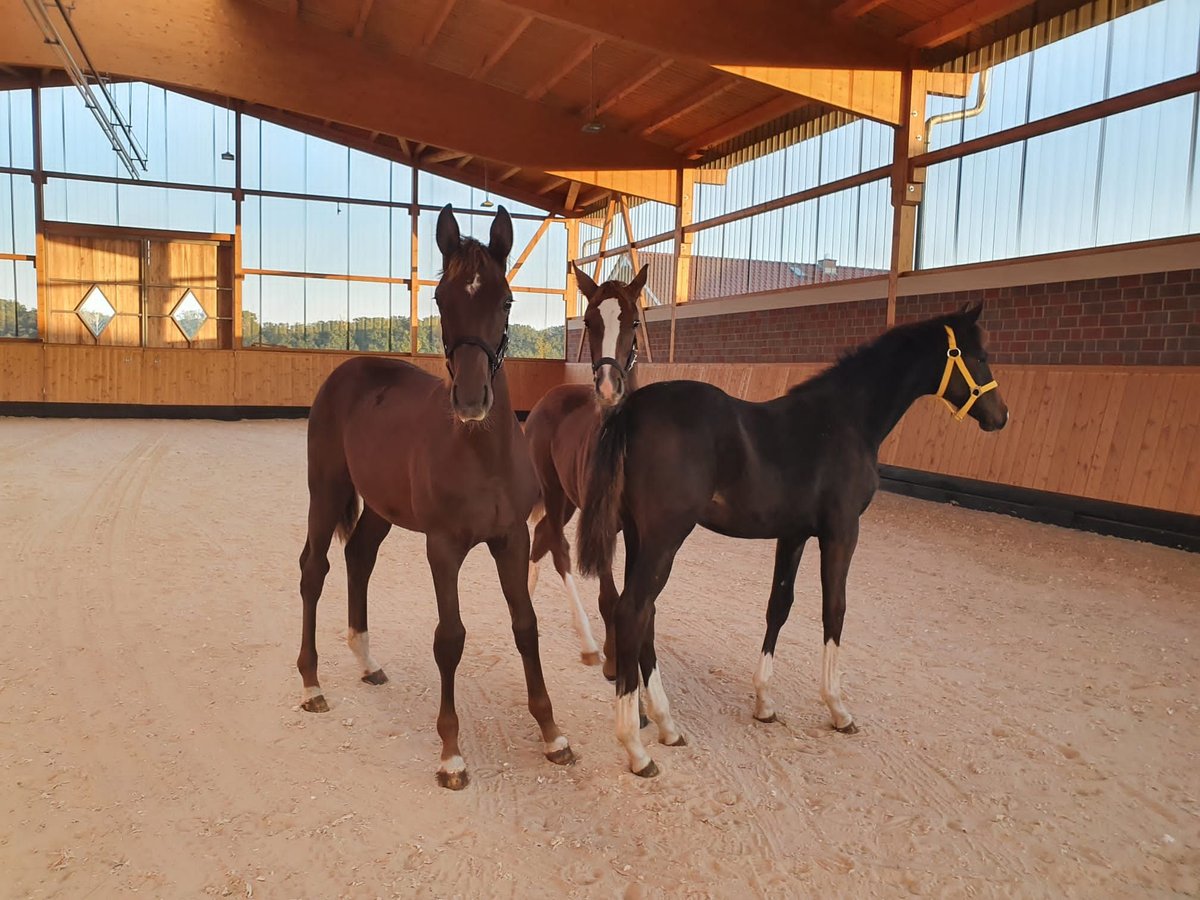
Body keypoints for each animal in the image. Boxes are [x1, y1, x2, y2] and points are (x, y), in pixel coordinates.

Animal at [292, 204, 568, 787]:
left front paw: (553, 734)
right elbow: (450, 638)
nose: (470, 399)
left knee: (359, 556)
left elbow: (526, 625)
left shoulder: (511, 539)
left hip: (379, 507)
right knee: (314, 569)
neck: (481, 455)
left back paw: (367, 661)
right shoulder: (443, 547)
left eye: (505, 300)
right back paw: (311, 683)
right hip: (325, 490)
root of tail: (348, 371)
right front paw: (451, 753)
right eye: (441, 298)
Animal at [525, 260, 648, 672]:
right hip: (552, 489)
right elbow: (610, 597)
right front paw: (612, 656)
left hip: (566, 499)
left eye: (634, 321)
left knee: (542, 535)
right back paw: (590, 643)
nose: (609, 388)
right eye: (590, 321)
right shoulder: (602, 521)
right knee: (557, 546)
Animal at [576, 304, 1008, 777]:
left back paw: (667, 725)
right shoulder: (841, 532)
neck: (845, 420)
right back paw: (637, 749)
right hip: (665, 538)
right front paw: (838, 709)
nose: (1000, 415)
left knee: (645, 615)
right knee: (633, 611)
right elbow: (834, 610)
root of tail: (632, 409)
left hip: (641, 538)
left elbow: (778, 607)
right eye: (979, 355)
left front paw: (764, 703)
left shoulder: (794, 534)